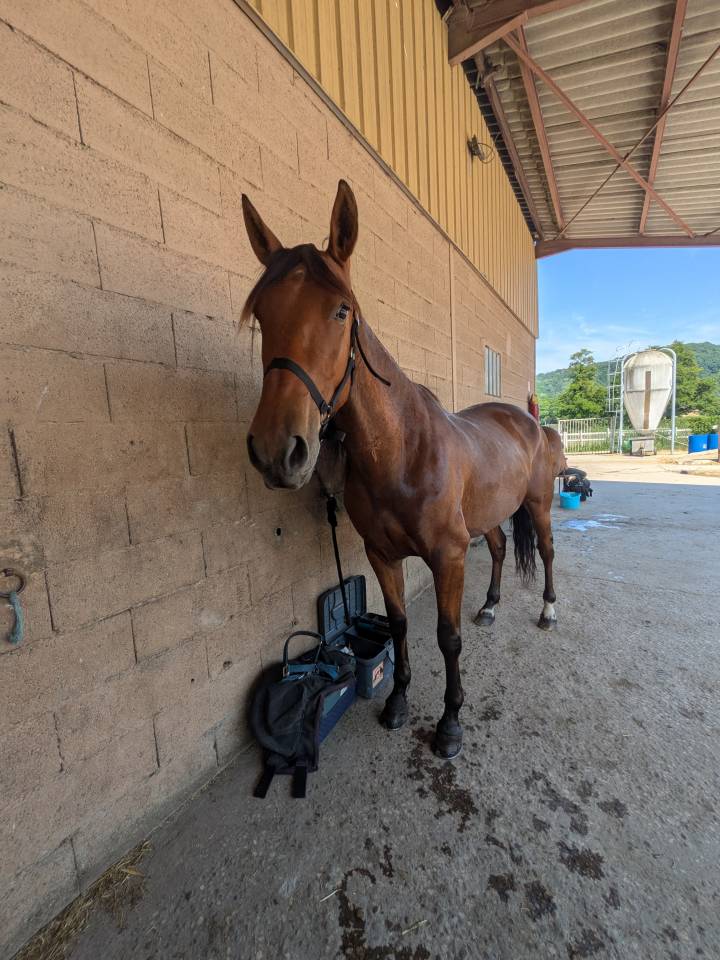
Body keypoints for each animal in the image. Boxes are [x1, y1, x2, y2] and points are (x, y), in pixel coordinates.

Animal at [240, 180, 565, 759]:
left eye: (342, 311)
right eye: (261, 314)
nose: (278, 449)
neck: (402, 454)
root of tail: (528, 420)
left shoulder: (448, 556)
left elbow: (447, 637)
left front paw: (450, 724)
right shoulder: (382, 555)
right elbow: (398, 625)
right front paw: (396, 701)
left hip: (539, 504)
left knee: (546, 553)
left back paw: (548, 612)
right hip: (489, 514)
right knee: (501, 548)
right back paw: (490, 606)